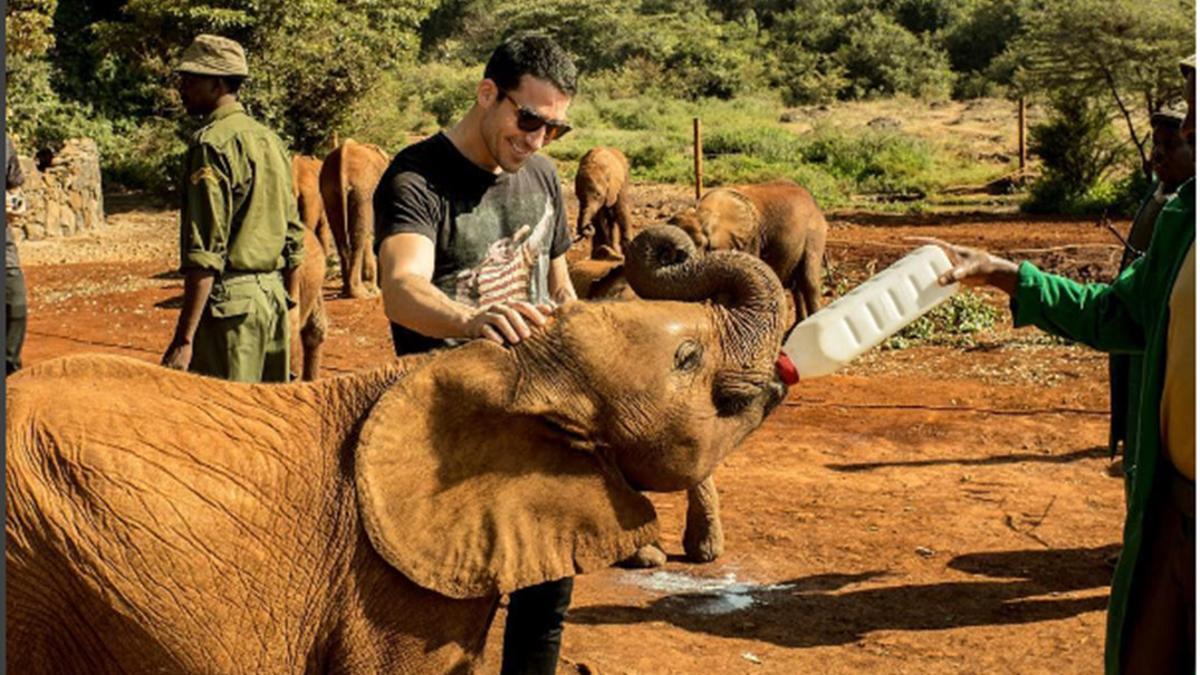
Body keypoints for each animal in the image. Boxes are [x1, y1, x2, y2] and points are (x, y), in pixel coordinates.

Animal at [319, 138, 388, 296]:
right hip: (364, 189)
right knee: (358, 235)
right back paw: (360, 293)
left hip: (330, 190)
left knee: (340, 236)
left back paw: (347, 290)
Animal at [672, 176, 830, 329]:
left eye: (701, 244)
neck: (703, 212)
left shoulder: (750, 240)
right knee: (797, 286)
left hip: (814, 233)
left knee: (809, 281)